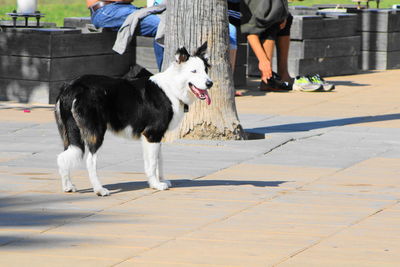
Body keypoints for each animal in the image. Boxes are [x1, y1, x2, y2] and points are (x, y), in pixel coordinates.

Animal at [55, 42, 216, 197]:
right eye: (194, 71)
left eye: (205, 70)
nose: (210, 83)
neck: (172, 88)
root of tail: (73, 86)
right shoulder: (152, 133)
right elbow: (152, 163)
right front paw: (156, 185)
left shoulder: (155, 136)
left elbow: (158, 161)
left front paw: (160, 181)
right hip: (95, 132)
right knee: (90, 161)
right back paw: (99, 190)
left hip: (69, 133)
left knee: (63, 157)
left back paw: (68, 186)